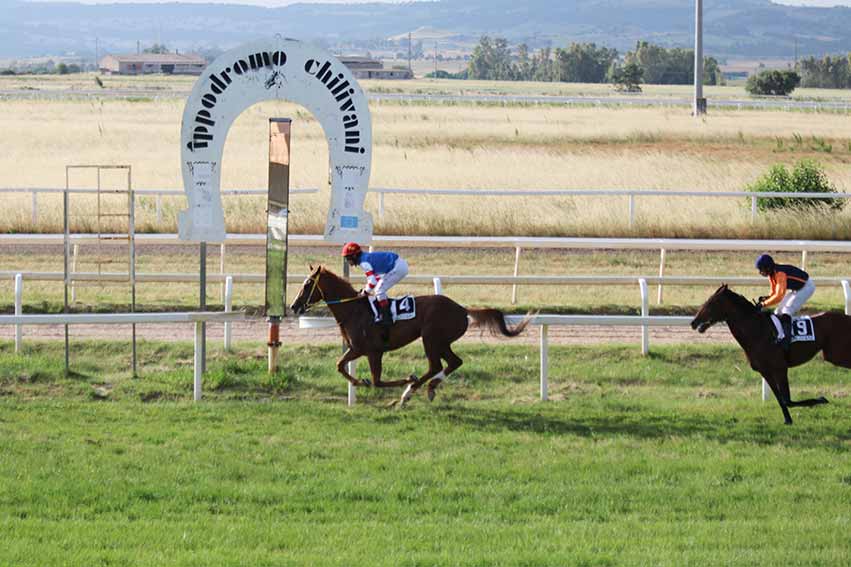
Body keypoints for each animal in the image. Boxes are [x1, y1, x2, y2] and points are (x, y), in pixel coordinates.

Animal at [292, 266, 532, 404]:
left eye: (307, 284)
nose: (294, 306)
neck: (353, 310)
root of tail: (462, 309)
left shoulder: (371, 351)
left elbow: (377, 381)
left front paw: (406, 379)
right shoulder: (358, 349)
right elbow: (340, 366)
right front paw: (361, 381)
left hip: (431, 338)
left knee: (435, 366)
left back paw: (410, 391)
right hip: (441, 341)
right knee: (454, 362)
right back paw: (429, 388)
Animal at [692, 286, 851, 424]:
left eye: (711, 303)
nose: (694, 322)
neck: (757, 332)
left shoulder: (780, 368)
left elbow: (787, 400)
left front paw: (821, 399)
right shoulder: (765, 371)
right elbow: (781, 399)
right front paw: (788, 419)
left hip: (836, 354)